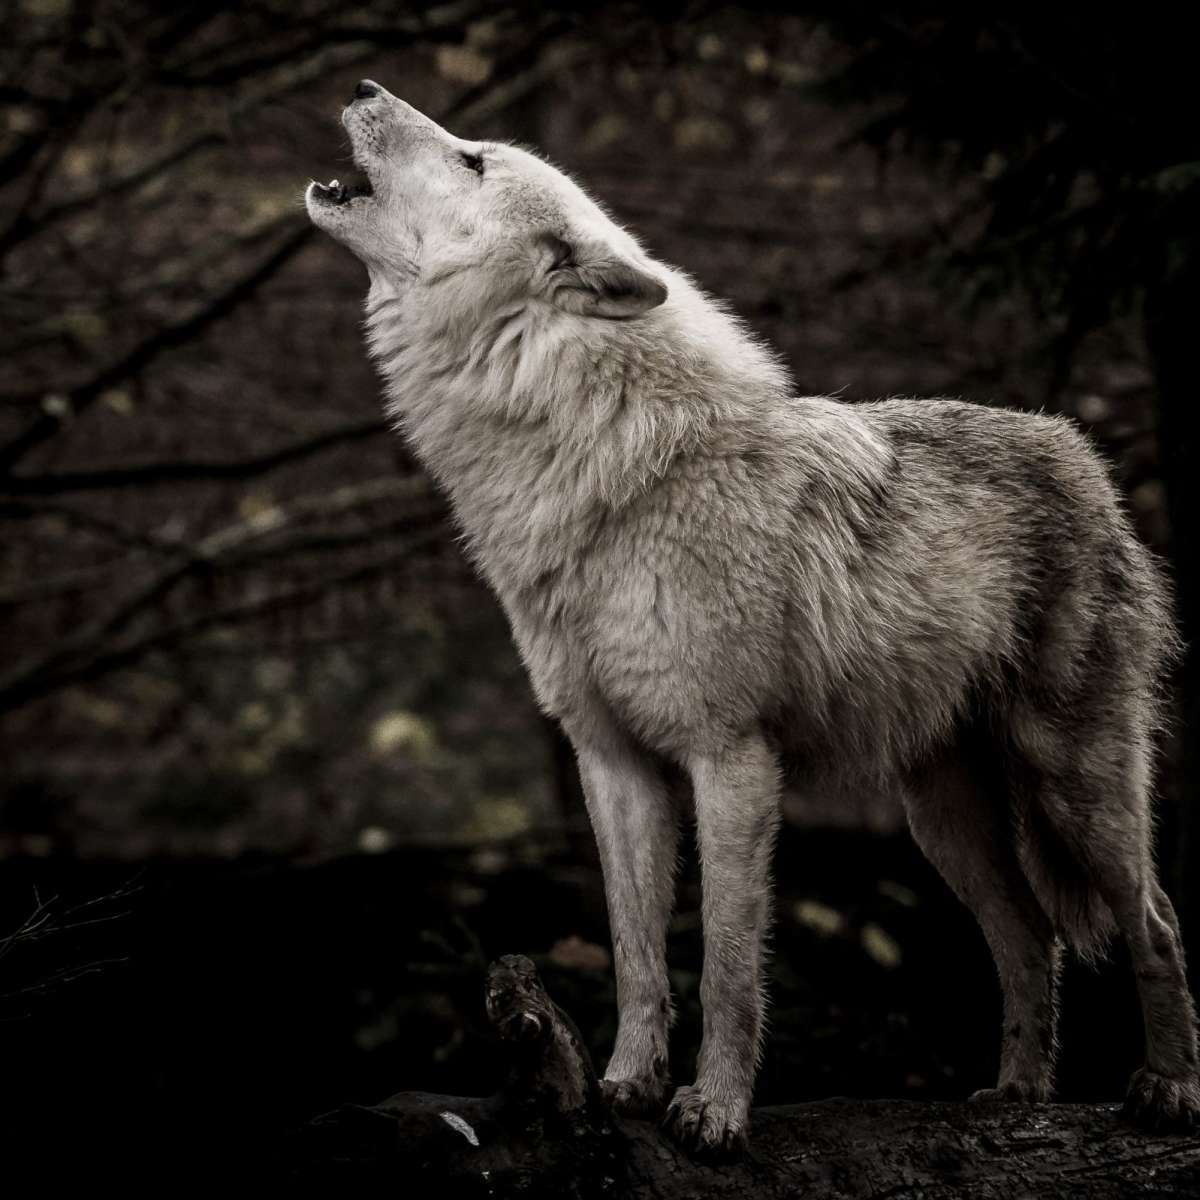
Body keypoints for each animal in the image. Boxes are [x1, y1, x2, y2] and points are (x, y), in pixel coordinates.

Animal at [305, 80, 1200, 1151]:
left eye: (474, 158)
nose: (364, 87)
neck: (604, 472)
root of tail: (1079, 451)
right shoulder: (612, 762)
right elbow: (637, 955)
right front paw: (623, 1087)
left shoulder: (729, 758)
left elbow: (728, 965)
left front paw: (716, 1112)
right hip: (941, 819)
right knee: (1030, 937)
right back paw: (1017, 1094)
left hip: (1075, 785)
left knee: (1155, 921)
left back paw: (1169, 1090)